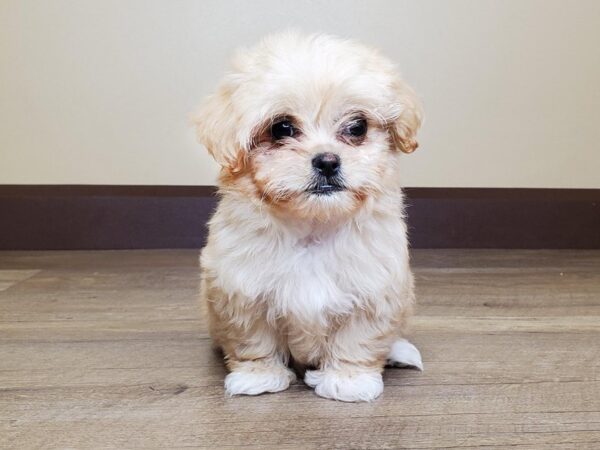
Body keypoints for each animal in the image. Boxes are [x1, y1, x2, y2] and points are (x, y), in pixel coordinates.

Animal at [195, 33, 424, 402]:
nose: (327, 161)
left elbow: (357, 339)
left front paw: (349, 381)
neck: (313, 227)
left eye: (357, 127)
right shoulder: (241, 290)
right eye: (282, 128)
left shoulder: (375, 289)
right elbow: (254, 339)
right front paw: (259, 376)